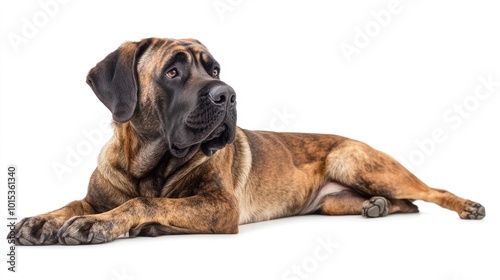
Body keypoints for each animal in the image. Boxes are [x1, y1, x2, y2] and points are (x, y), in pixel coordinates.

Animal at [14, 37, 484, 245]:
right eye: (172, 71)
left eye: (215, 70)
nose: (227, 94)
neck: (147, 163)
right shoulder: (97, 195)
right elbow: (73, 203)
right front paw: (42, 220)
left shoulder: (220, 206)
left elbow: (145, 202)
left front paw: (99, 224)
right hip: (336, 200)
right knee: (405, 204)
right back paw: (377, 207)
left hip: (358, 162)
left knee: (429, 192)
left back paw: (467, 206)